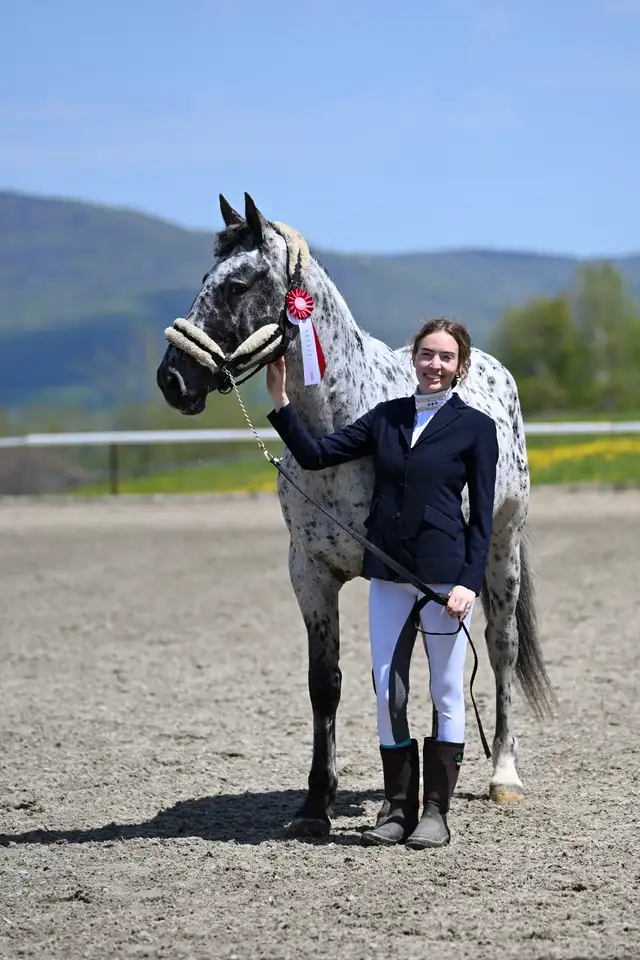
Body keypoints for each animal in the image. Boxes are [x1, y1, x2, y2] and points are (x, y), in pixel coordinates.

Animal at [157, 192, 555, 837]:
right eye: (204, 280)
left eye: (238, 285)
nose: (171, 379)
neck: (342, 422)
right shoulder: (311, 573)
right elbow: (330, 684)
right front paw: (315, 805)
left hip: (499, 556)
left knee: (500, 653)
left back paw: (504, 776)